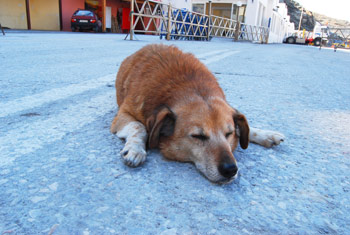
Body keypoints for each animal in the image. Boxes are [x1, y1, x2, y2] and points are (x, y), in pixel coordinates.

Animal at [112, 43, 284, 184]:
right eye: (198, 136)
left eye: (229, 134)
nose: (230, 169)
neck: (190, 86)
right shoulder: (122, 115)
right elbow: (138, 126)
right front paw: (135, 149)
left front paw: (264, 134)